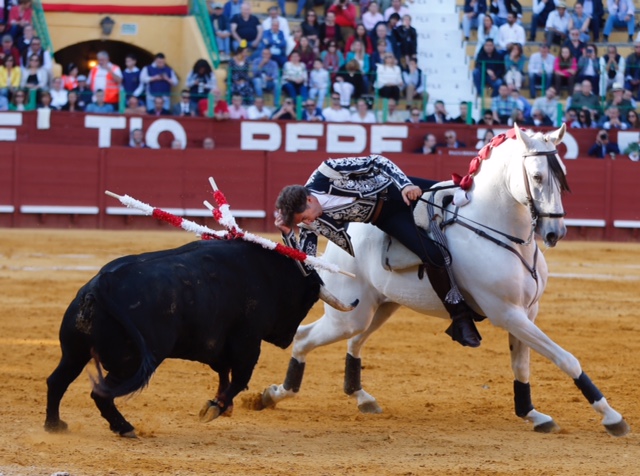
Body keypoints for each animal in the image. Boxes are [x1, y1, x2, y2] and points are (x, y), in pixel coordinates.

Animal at [257, 124, 630, 437]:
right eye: (537, 177)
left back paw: (360, 396)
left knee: (354, 342)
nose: (555, 232)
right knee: (306, 337)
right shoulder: (507, 313)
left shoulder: (527, 312)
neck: (499, 231)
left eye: (562, 174)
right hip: (350, 314)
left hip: (381, 307)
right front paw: (611, 416)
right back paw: (273, 395)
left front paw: (532, 413)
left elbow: (521, 366)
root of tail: (340, 245)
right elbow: (565, 358)